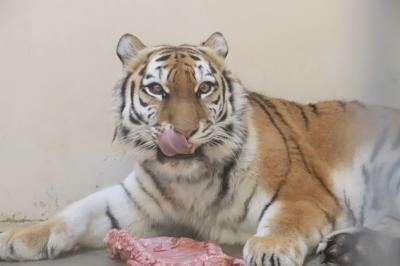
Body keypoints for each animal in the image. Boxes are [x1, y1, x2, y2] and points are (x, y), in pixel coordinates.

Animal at [0, 32, 400, 264]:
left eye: (204, 88)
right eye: (157, 89)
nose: (184, 132)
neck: (189, 179)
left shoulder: (301, 193)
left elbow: (284, 220)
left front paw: (270, 249)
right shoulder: (132, 203)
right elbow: (75, 213)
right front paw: (17, 238)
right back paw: (346, 246)